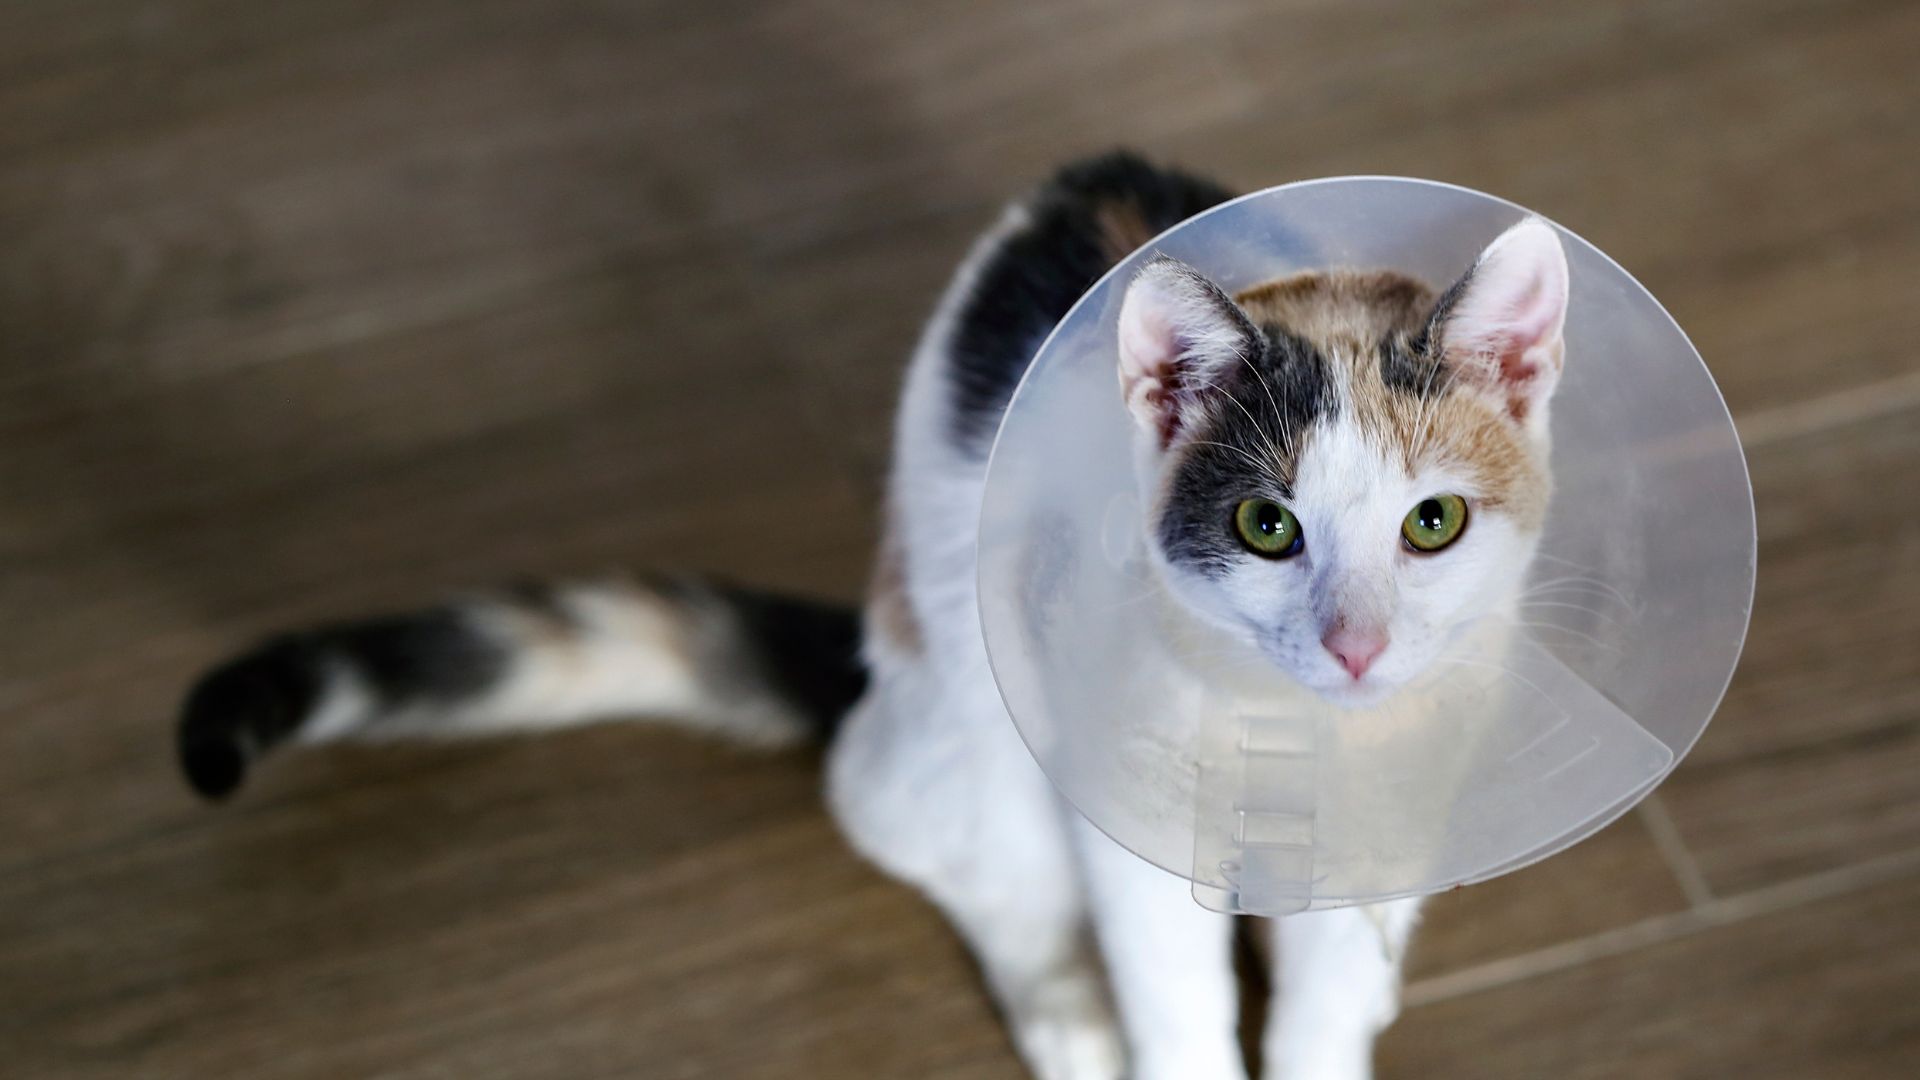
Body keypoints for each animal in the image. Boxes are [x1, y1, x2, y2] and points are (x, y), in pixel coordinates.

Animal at [172, 151, 1566, 1076]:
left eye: (1431, 523)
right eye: (1266, 527)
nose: (1356, 645)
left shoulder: (1394, 831)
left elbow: (1327, 1004)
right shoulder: (1117, 828)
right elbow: (1175, 1006)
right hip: (973, 726)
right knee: (941, 847)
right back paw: (1069, 1022)